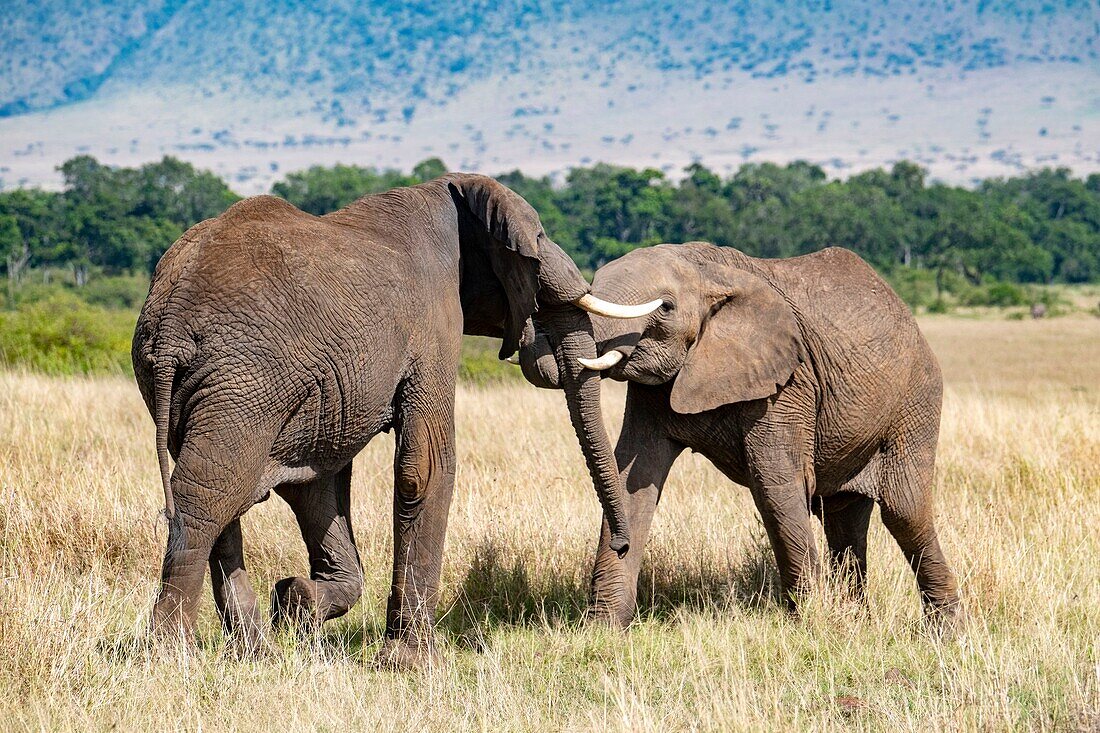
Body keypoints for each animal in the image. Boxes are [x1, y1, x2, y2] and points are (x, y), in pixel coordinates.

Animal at [133, 173, 655, 664]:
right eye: (541, 237)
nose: (622, 544)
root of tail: (172, 323)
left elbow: (317, 484)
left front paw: (297, 603)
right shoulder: (435, 322)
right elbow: (427, 466)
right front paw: (415, 662)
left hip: (205, 382)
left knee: (223, 492)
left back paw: (254, 652)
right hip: (245, 379)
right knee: (206, 494)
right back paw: (171, 653)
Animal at [519, 242, 959, 625]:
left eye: (666, 307)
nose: (620, 543)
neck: (704, 269)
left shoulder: (786, 382)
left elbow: (774, 486)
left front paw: (812, 626)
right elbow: (630, 481)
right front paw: (603, 629)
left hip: (916, 399)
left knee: (904, 511)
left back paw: (944, 633)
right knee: (844, 519)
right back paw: (858, 622)